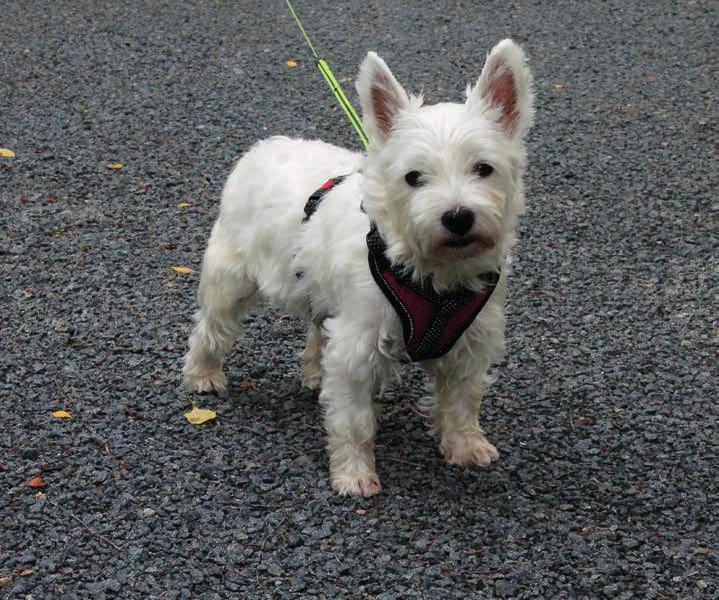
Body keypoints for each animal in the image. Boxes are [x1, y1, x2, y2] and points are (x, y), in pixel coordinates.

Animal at [186, 38, 536, 496]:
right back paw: (203, 374)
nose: (458, 217)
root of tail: (263, 147)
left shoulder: (471, 341)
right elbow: (353, 420)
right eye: (413, 177)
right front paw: (353, 475)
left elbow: (462, 402)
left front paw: (465, 447)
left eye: (484, 168)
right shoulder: (357, 345)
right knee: (211, 325)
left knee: (318, 332)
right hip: (231, 276)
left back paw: (314, 373)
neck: (434, 274)